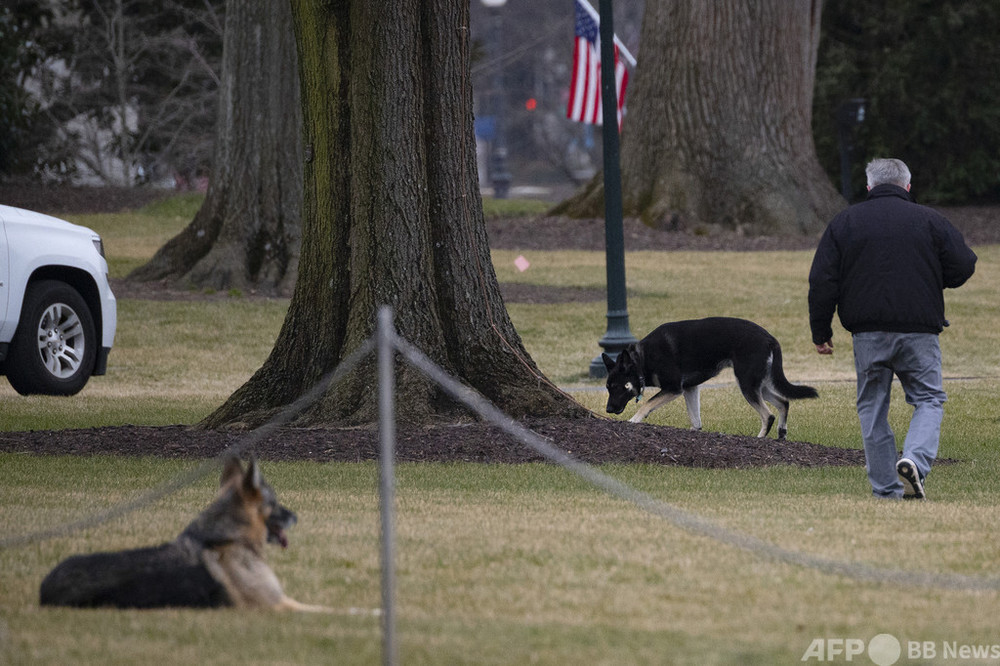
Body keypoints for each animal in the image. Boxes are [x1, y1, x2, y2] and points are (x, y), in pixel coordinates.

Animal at [604, 316, 816, 438]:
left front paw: (634, 420)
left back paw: (760, 438)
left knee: (768, 415)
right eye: (607, 387)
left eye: (617, 386)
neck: (641, 359)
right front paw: (695, 431)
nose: (608, 410)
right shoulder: (689, 388)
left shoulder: (673, 388)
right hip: (758, 384)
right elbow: (695, 418)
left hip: (746, 383)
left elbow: (647, 404)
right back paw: (781, 434)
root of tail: (770, 339)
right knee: (784, 402)